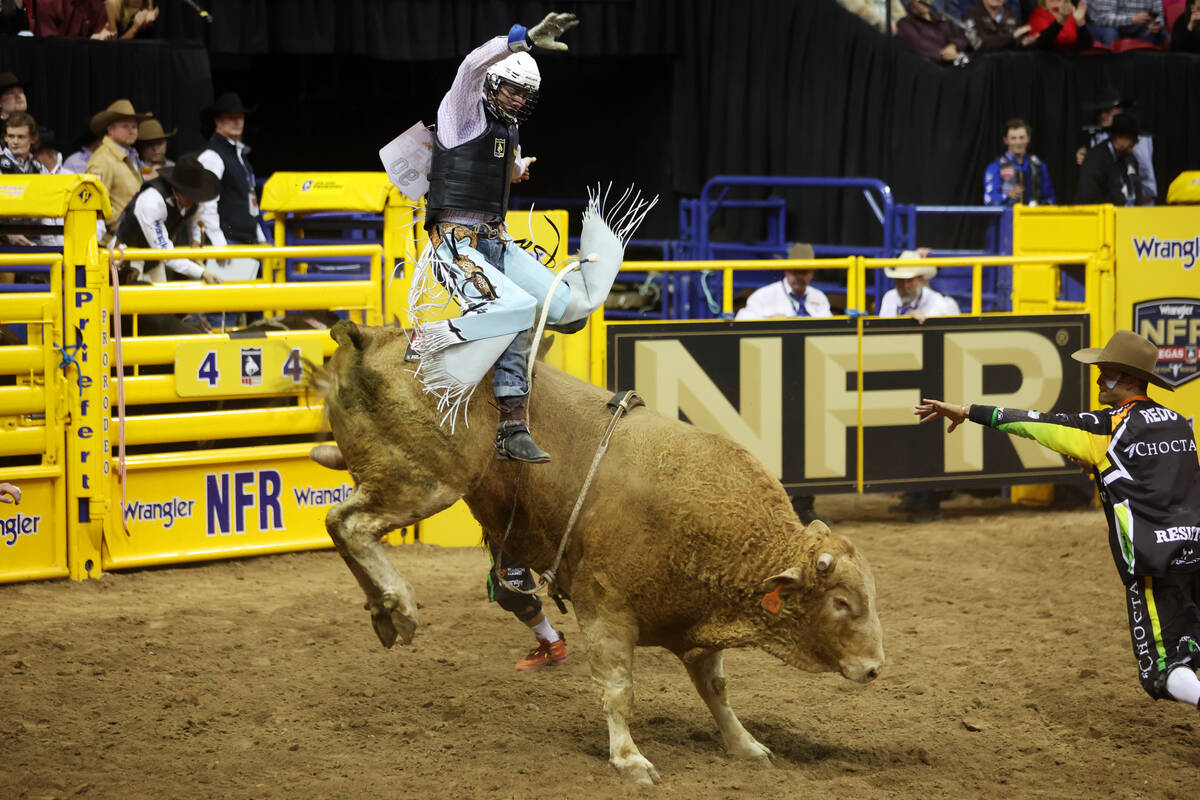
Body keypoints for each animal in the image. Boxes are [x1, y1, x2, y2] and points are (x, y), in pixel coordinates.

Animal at [316, 319, 883, 782]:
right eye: (840, 602)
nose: (876, 668)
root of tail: (371, 338)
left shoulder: (696, 624)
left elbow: (716, 689)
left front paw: (745, 745)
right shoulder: (604, 608)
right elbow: (618, 689)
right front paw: (630, 759)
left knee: (345, 525)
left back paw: (383, 610)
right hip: (427, 479)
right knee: (346, 522)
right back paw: (399, 603)